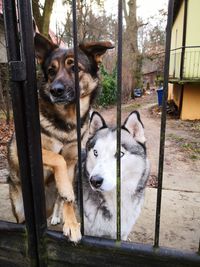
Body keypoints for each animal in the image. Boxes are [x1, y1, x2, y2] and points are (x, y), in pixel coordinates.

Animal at [7, 31, 113, 243]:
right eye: (51, 71)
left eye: (75, 67)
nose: (55, 90)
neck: (66, 121)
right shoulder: (32, 152)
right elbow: (57, 158)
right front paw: (66, 190)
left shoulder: (72, 162)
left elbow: (67, 199)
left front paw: (71, 224)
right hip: (21, 207)